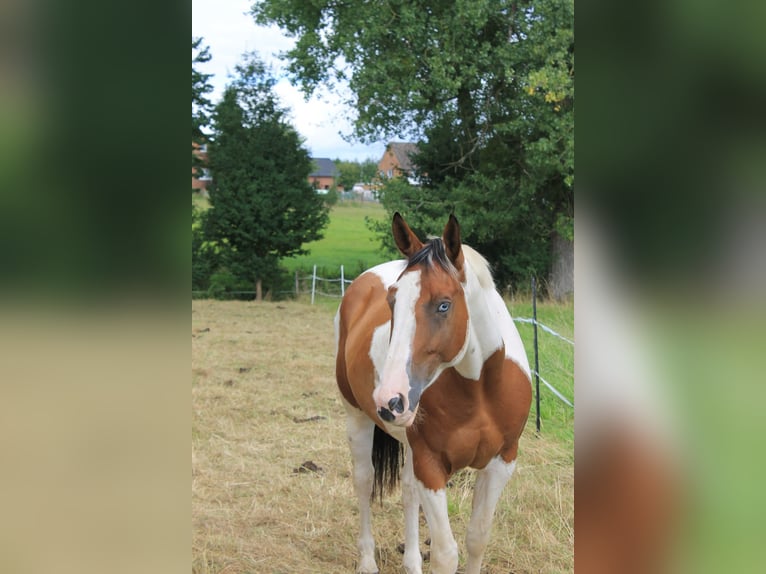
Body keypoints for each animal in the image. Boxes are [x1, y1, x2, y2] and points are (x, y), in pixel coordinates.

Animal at [334, 212, 532, 574]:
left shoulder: (501, 463)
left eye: (443, 305)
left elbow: (477, 537)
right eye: (392, 301)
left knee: (408, 491)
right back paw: (367, 561)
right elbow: (445, 554)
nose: (389, 400)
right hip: (357, 418)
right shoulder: (431, 466)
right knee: (364, 482)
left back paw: (411, 562)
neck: (480, 393)